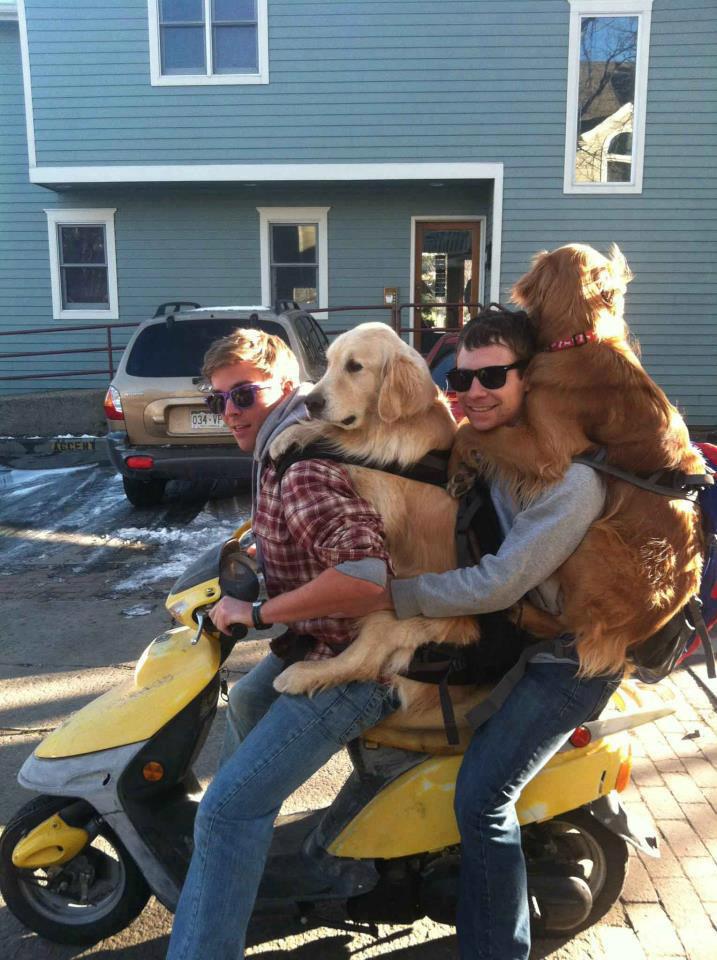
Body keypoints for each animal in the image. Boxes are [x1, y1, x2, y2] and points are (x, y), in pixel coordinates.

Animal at [267, 322, 480, 708]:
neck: (390, 425)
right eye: (330, 363)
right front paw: (289, 434)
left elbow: (340, 438)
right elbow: (334, 430)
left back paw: (300, 675)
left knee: (362, 661)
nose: (311, 402)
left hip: (391, 608)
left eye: (355, 367)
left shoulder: (383, 502)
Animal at [449, 243, 705, 676]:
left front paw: (457, 463)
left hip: (594, 540)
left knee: (569, 625)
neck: (577, 340)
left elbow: (471, 428)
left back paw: (522, 612)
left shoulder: (549, 449)